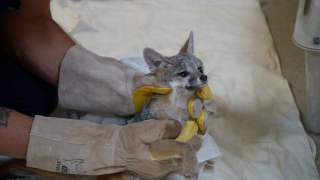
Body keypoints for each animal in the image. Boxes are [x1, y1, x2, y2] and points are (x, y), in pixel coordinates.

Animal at [0, 32, 208, 180]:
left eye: (200, 69)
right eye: (183, 74)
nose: (205, 77)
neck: (178, 108)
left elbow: (196, 141)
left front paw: (189, 152)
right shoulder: (154, 142)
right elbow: (183, 145)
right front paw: (191, 164)